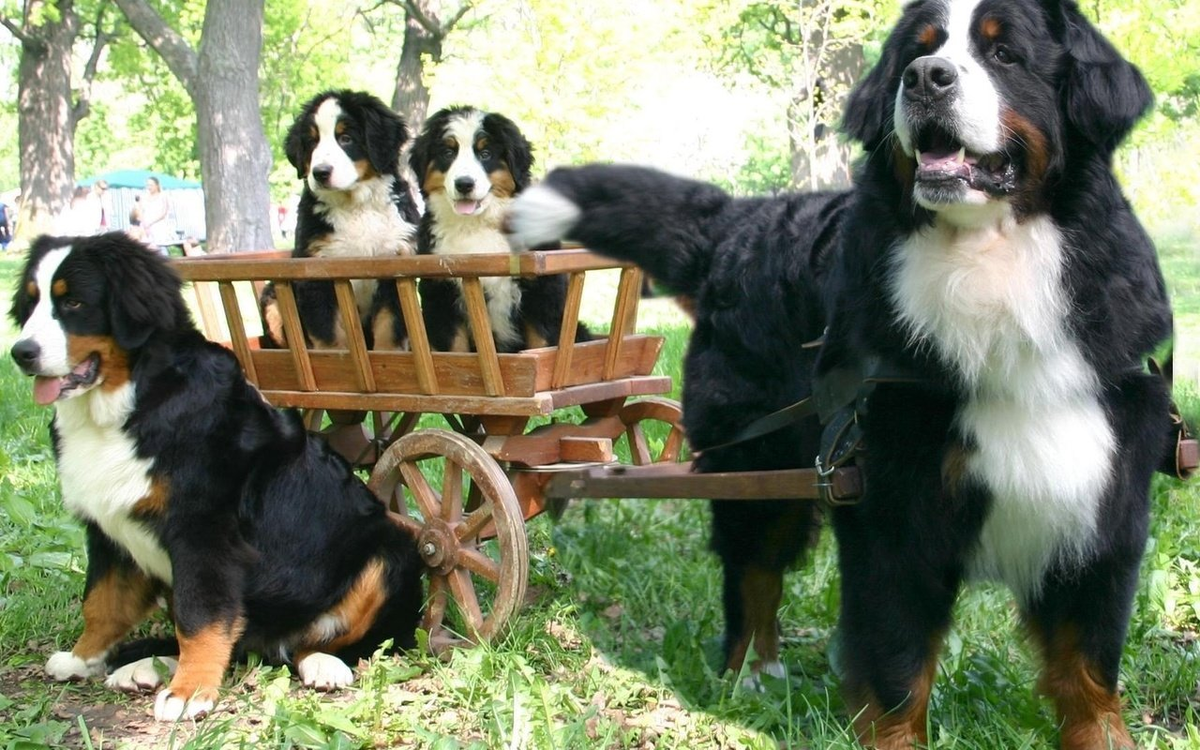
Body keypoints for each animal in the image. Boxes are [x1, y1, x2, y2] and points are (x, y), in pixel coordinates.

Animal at [8, 232, 422, 720]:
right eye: (31, 302)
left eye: (73, 302)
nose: (20, 353)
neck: (127, 405)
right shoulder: (109, 528)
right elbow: (103, 602)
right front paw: (82, 657)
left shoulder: (202, 534)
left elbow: (200, 616)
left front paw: (189, 693)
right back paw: (142, 667)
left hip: (389, 550)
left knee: (337, 642)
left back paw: (323, 664)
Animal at [262, 90, 422, 348]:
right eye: (312, 142)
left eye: (346, 138)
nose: (320, 173)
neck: (356, 206)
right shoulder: (315, 273)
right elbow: (329, 335)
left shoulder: (396, 268)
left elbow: (389, 329)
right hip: (272, 298)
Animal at [410, 106, 588, 352]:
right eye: (448, 153)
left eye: (485, 154)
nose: (464, 184)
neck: (477, 225)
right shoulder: (442, 295)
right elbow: (456, 351)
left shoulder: (542, 294)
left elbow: (541, 345)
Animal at [508, 2, 1180, 744]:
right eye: (915, 53)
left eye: (1005, 54)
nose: (927, 77)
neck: (988, 268)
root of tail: (738, 221)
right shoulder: (895, 511)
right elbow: (897, 666)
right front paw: (891, 737)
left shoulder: (1100, 503)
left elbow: (1087, 663)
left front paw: (1103, 735)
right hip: (759, 463)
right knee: (752, 573)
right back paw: (747, 675)